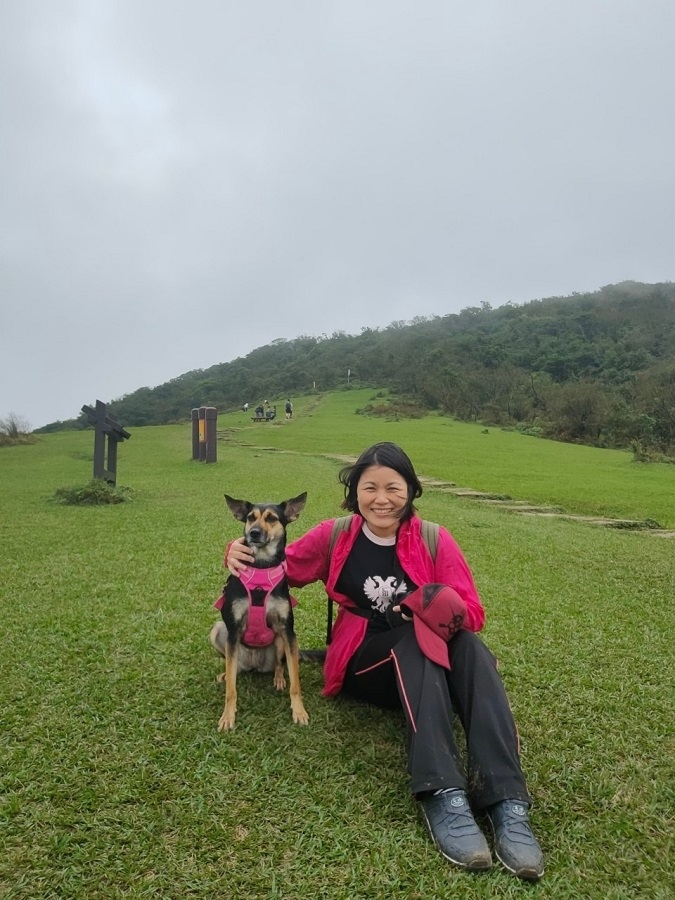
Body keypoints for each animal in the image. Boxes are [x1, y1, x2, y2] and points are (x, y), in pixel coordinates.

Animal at [209, 492, 308, 732]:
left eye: (272, 518)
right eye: (250, 517)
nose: (253, 532)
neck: (261, 567)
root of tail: (254, 665)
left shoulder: (288, 630)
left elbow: (296, 682)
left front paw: (299, 711)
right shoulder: (233, 631)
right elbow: (231, 690)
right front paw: (227, 716)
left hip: (280, 640)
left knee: (280, 665)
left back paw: (279, 678)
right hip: (219, 632)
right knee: (234, 669)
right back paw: (226, 674)